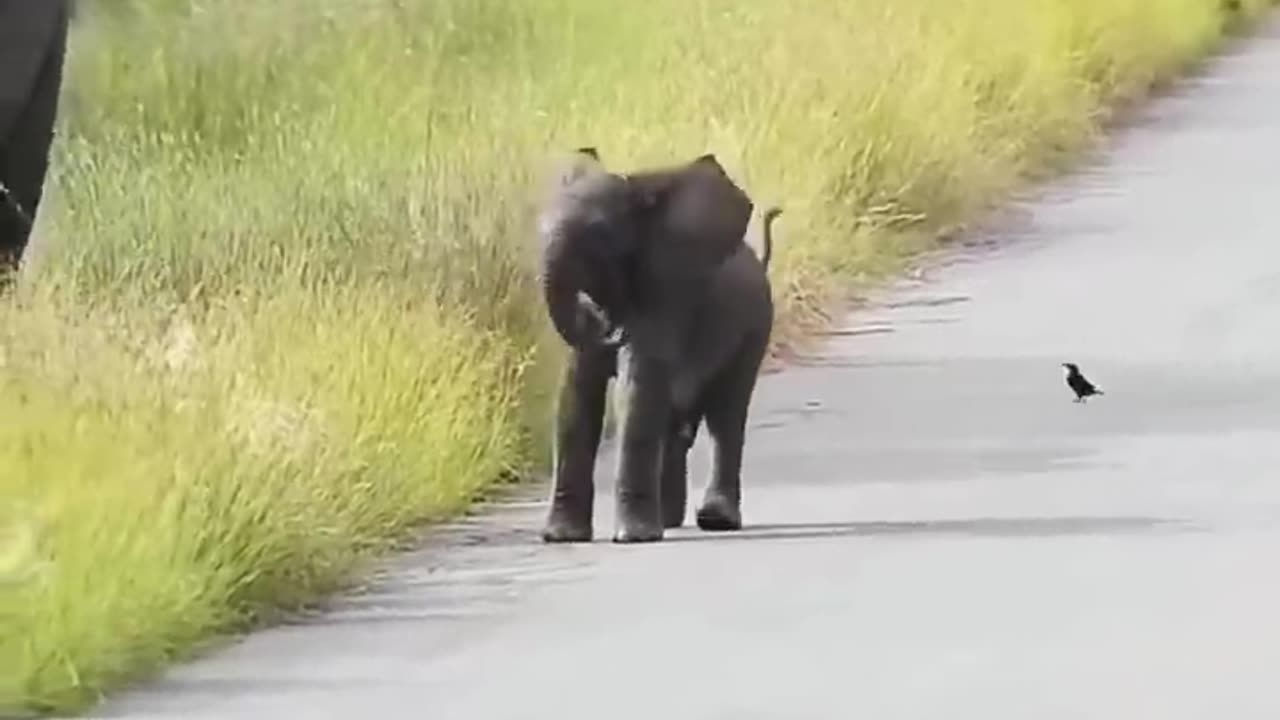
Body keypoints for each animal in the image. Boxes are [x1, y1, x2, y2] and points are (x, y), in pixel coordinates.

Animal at [532, 147, 773, 538]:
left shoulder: (663, 295)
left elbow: (636, 388)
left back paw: (715, 520)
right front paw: (561, 537)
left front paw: (634, 538)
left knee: (726, 416)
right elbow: (575, 394)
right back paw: (670, 519)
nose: (612, 329)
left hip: (756, 326)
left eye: (600, 234)